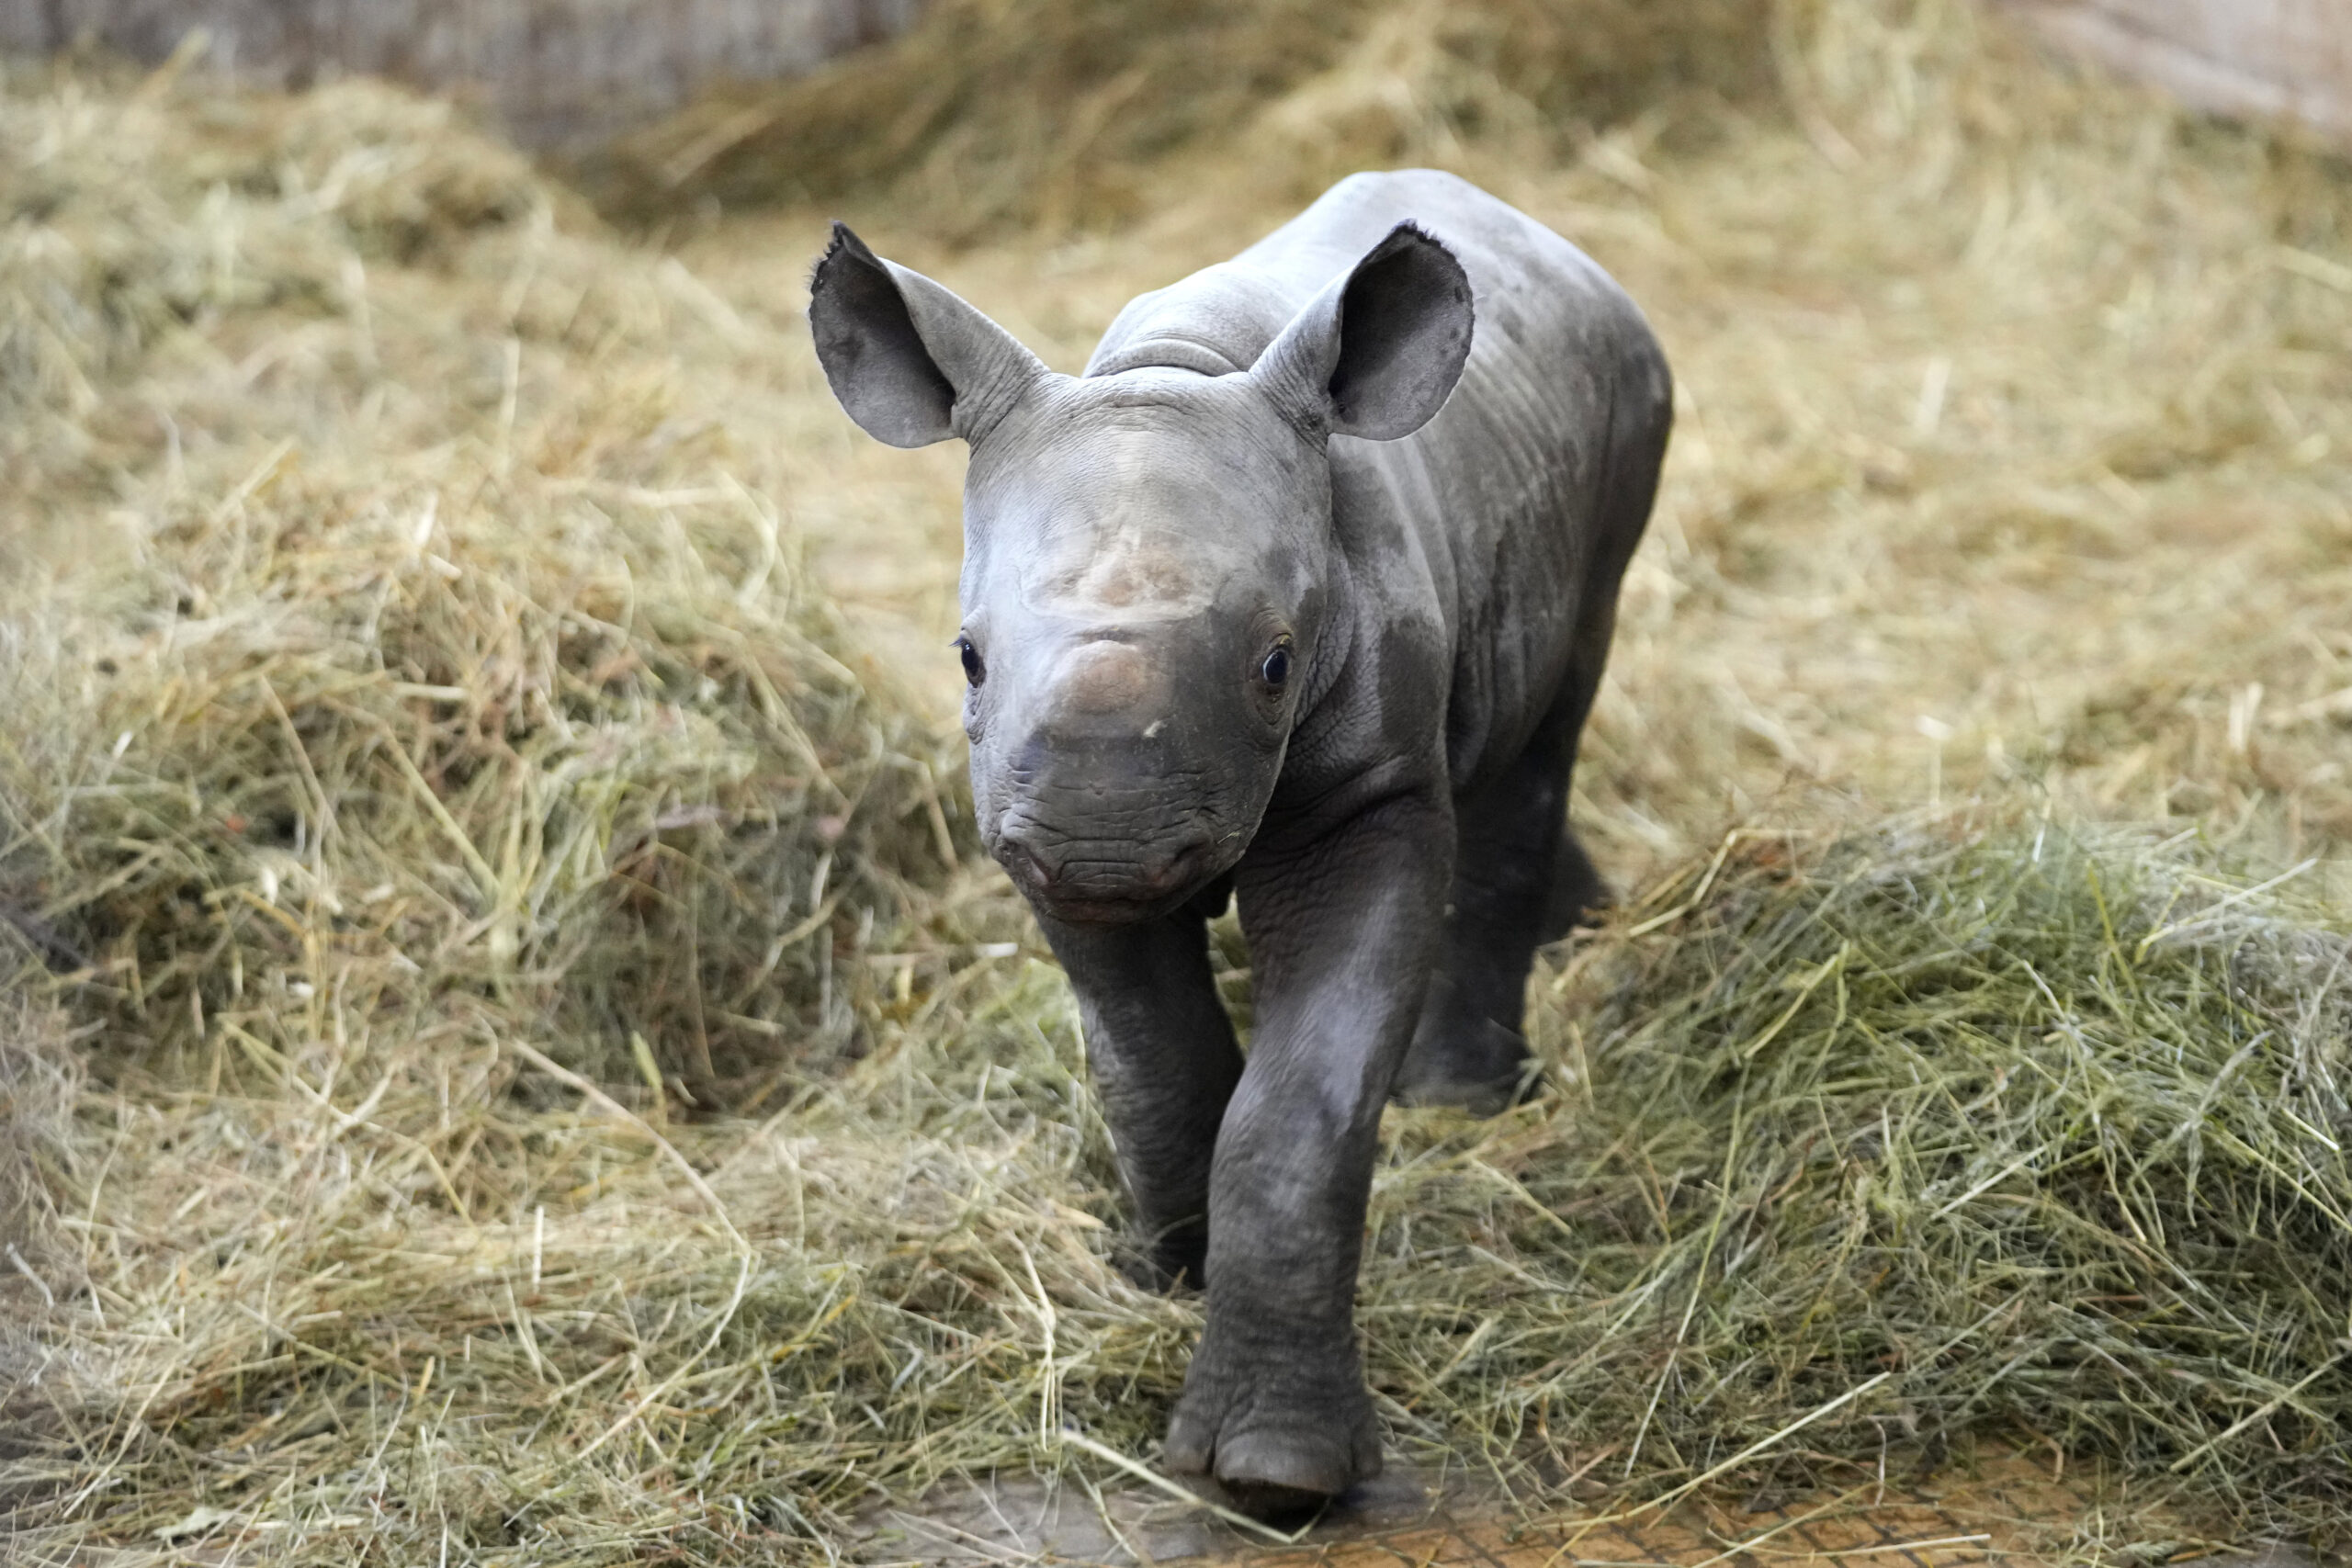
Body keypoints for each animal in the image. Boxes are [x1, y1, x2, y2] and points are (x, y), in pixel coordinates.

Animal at [808, 169, 1671, 1516]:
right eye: (966, 659)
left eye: (1275, 664)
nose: (1102, 842)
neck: (1179, 367)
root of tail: (1558, 249)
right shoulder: (1024, 816)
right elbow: (1150, 1056)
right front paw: (1166, 1270)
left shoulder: (1369, 791)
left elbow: (1298, 1106)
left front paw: (1276, 1475)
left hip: (1627, 420)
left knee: (1549, 721)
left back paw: (1463, 1100)